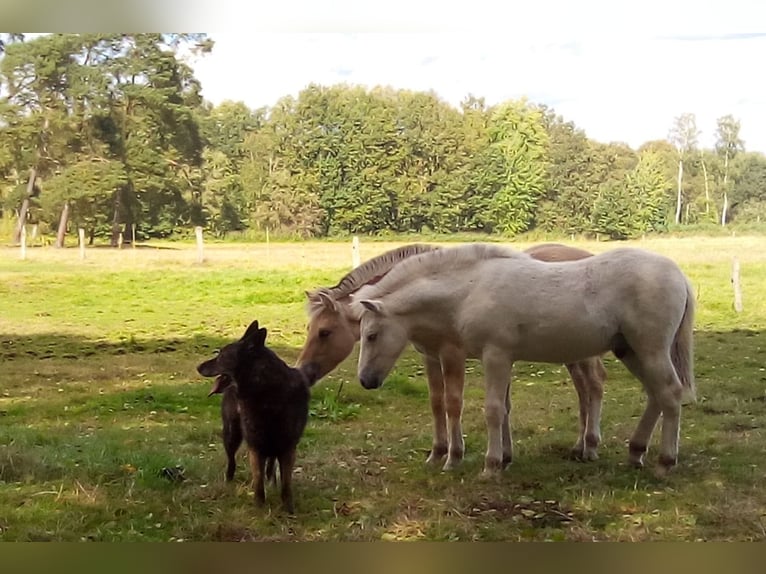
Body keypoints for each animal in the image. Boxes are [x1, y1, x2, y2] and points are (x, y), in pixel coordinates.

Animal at [201, 322, 318, 516]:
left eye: (221, 356)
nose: (198, 367)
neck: (267, 389)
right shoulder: (255, 446)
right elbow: (258, 482)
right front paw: (260, 508)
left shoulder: (288, 448)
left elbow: (286, 484)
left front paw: (288, 509)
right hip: (232, 434)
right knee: (231, 460)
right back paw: (229, 480)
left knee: (271, 464)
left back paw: (271, 480)